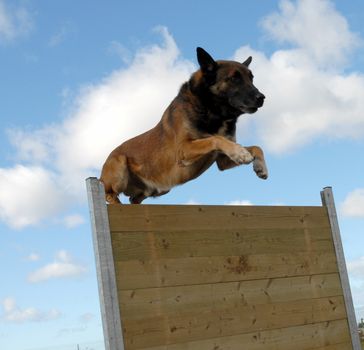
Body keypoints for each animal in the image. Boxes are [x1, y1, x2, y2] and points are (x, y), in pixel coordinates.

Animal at [99, 47, 268, 204]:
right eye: (234, 78)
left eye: (251, 78)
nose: (261, 98)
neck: (211, 109)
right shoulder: (183, 149)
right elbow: (215, 139)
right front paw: (241, 153)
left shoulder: (222, 160)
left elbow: (256, 147)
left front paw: (260, 166)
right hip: (119, 163)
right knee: (109, 194)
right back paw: (117, 203)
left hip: (157, 189)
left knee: (133, 199)